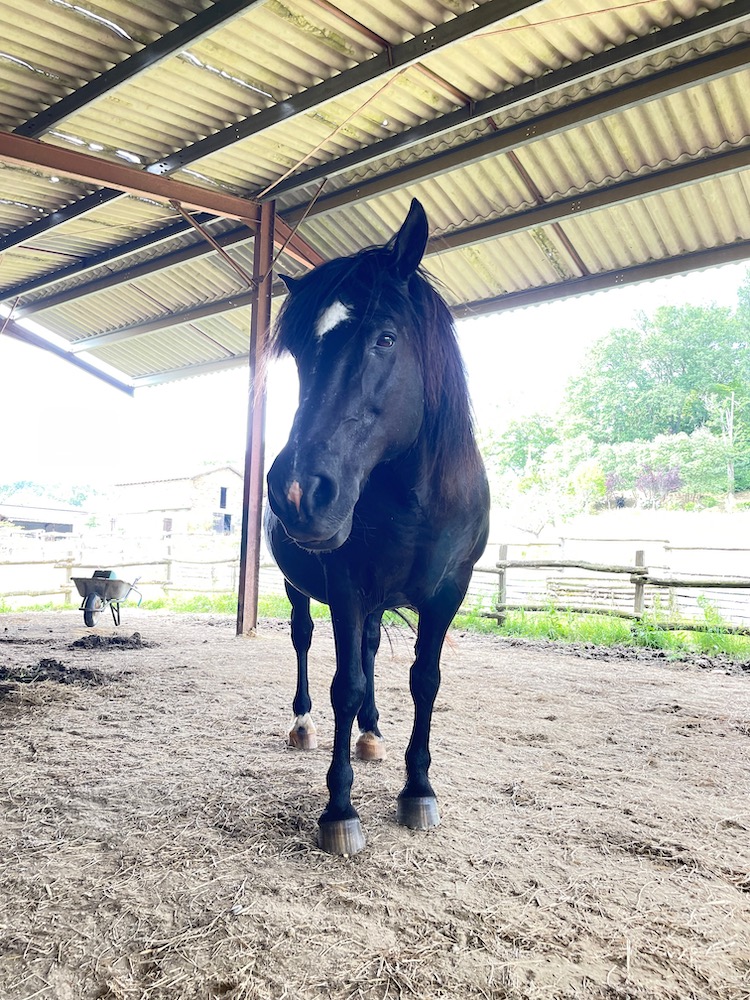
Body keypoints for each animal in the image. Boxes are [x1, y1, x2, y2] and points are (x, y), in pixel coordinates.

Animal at [268, 199, 490, 856]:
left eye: (385, 339)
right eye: (299, 355)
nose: (297, 492)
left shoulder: (449, 593)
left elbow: (424, 681)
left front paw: (418, 789)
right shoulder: (346, 587)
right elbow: (344, 685)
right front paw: (339, 810)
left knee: (368, 652)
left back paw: (371, 735)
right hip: (299, 589)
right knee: (304, 642)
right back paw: (304, 723)